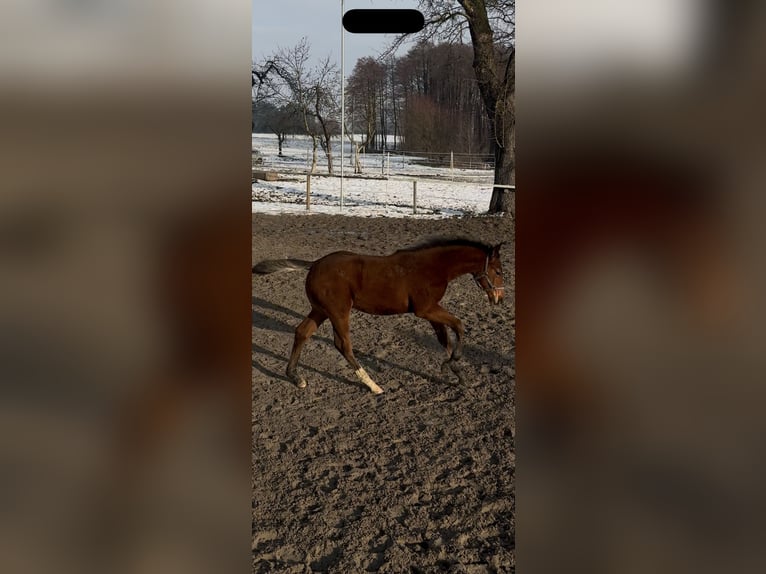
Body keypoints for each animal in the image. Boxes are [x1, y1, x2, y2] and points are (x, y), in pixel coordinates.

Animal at [253, 237, 505, 394]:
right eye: (499, 271)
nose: (499, 299)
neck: (433, 267)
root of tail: (314, 264)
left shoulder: (431, 310)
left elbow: (444, 338)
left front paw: (458, 375)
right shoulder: (425, 309)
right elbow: (459, 326)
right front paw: (453, 365)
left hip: (320, 310)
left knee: (302, 332)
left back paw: (296, 377)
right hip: (338, 311)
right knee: (342, 344)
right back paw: (373, 385)